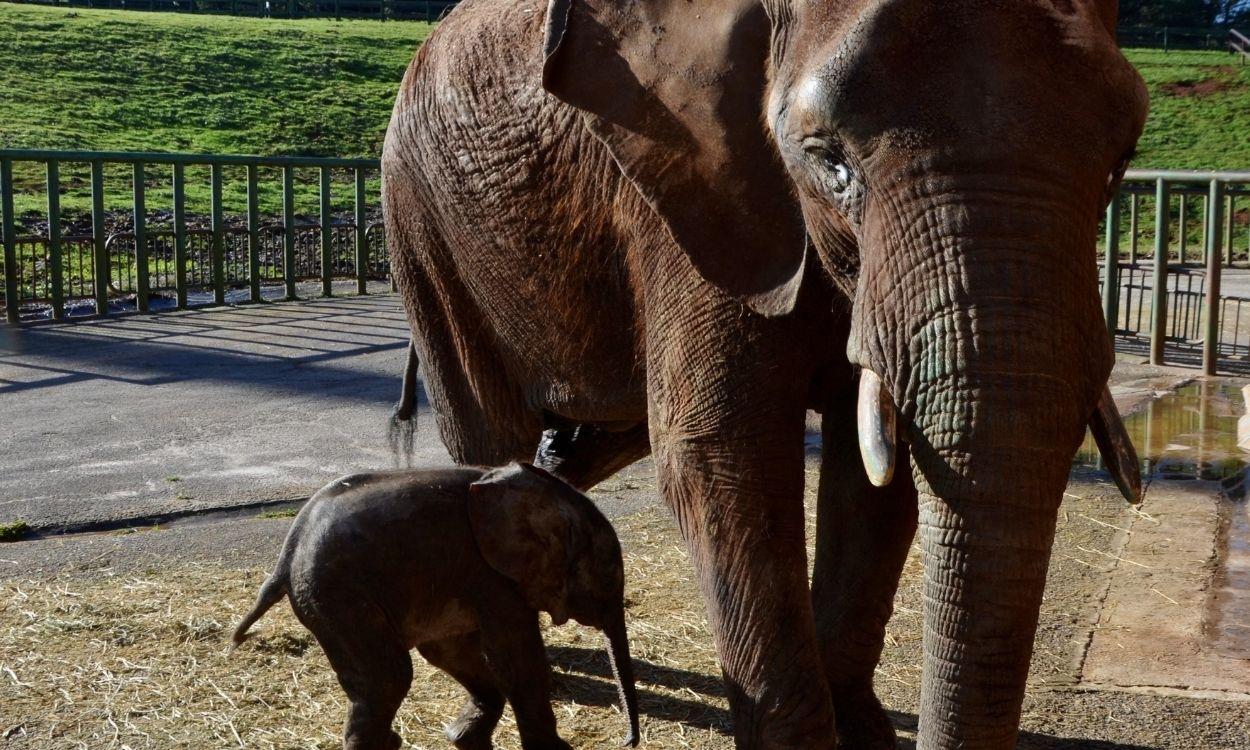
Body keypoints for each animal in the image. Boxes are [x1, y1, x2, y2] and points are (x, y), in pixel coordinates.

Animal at [231, 462, 640, 750]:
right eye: (608, 574)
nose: (628, 742)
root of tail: (287, 555)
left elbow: (452, 651)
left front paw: (463, 738)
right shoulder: (491, 577)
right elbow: (516, 658)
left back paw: (394, 741)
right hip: (339, 597)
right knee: (389, 677)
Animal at [385, 2, 1145, 745]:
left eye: (1122, 161)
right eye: (830, 161)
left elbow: (874, 467)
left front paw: (860, 730)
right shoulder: (693, 199)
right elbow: (720, 456)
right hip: (425, 228)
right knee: (489, 436)